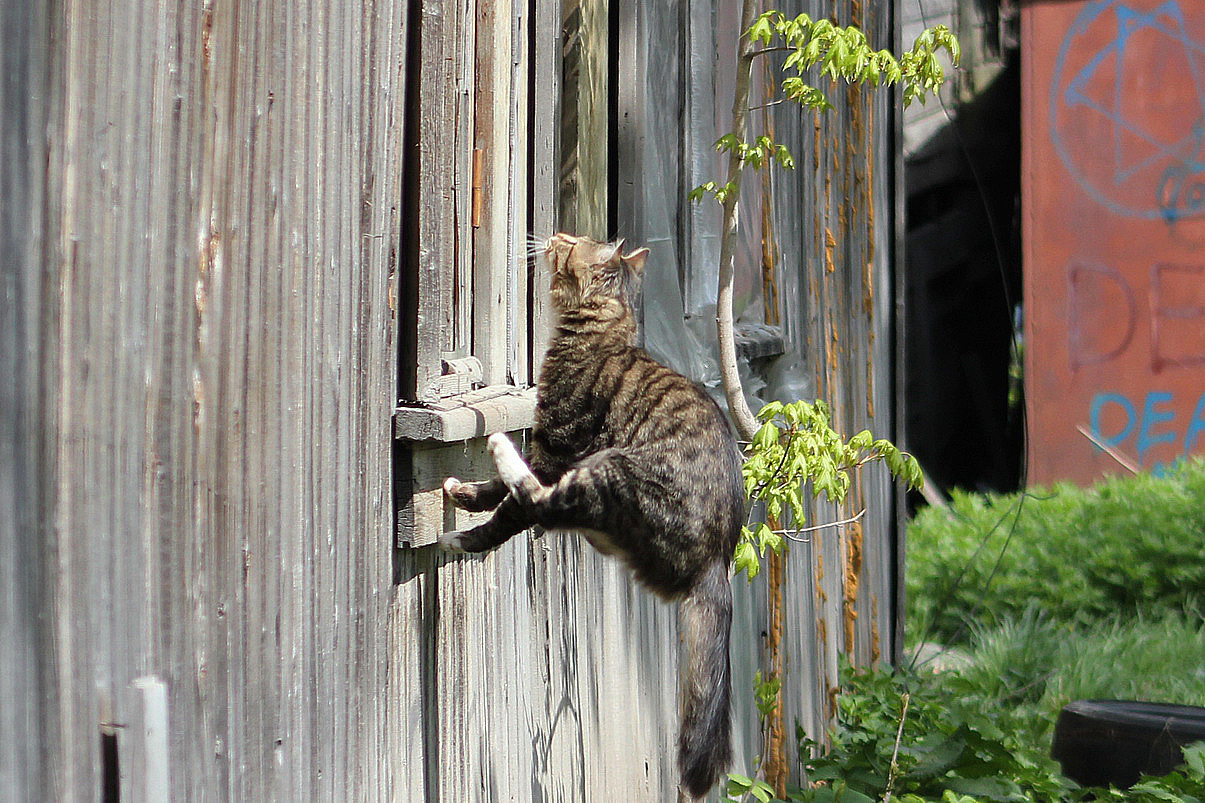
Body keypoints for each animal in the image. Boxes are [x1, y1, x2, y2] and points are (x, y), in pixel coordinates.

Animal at [443, 230, 742, 795]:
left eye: (568, 243)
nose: (552, 235)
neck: (602, 333)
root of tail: (718, 558)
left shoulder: (554, 451)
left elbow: (508, 511)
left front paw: (467, 522)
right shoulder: (549, 455)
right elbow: (492, 494)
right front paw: (459, 491)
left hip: (607, 468)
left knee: (541, 506)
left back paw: (494, 456)